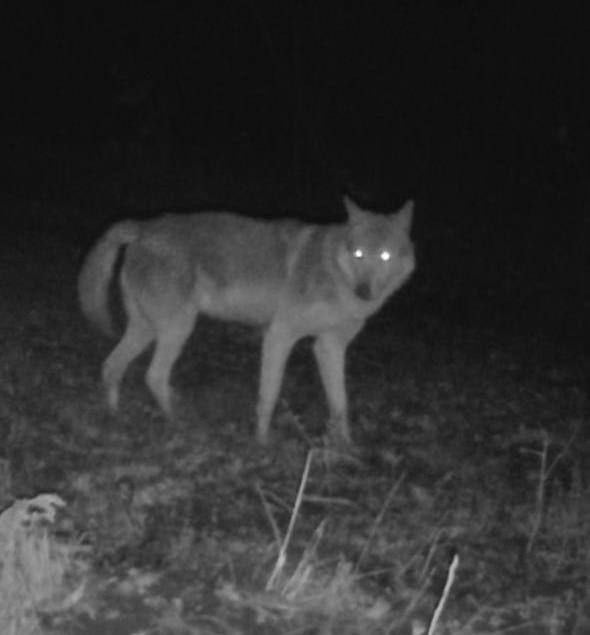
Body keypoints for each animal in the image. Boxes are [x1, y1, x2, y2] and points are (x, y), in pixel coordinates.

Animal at [78, 196, 416, 444]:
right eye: (358, 253)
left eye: (384, 256)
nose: (364, 291)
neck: (335, 274)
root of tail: (142, 226)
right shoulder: (279, 336)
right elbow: (269, 394)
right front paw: (262, 443)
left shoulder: (329, 346)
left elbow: (340, 403)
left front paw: (345, 449)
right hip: (178, 329)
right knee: (154, 376)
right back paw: (179, 424)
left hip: (146, 330)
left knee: (111, 366)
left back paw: (114, 419)